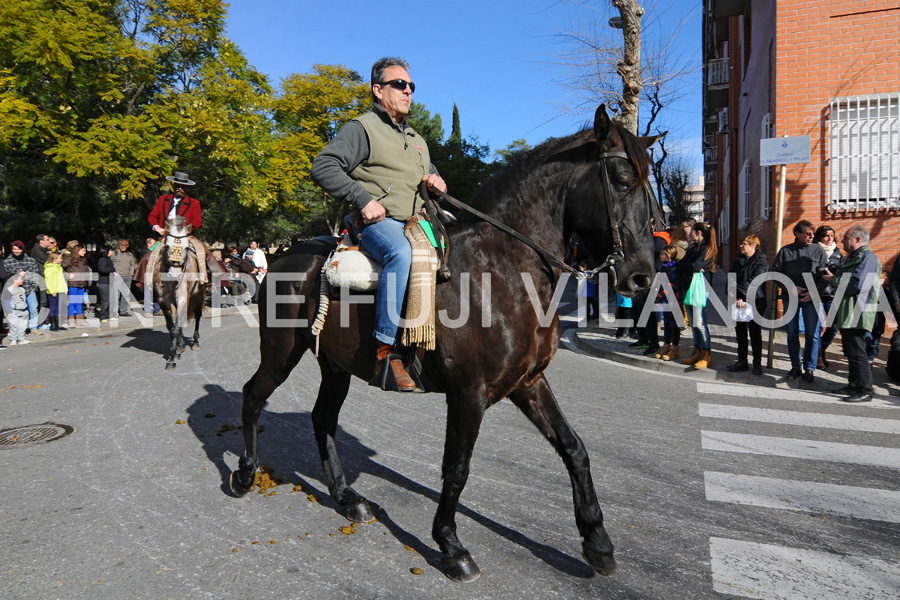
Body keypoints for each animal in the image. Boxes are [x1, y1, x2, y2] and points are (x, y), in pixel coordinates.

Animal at [229, 106, 656, 580]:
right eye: (622, 179)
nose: (642, 277)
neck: (504, 271)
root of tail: (284, 256)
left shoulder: (528, 383)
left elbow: (574, 449)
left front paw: (597, 541)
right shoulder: (469, 394)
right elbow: (457, 469)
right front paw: (451, 546)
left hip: (335, 366)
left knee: (322, 419)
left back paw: (346, 498)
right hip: (281, 354)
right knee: (252, 395)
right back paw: (245, 474)